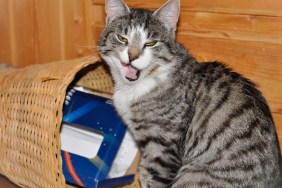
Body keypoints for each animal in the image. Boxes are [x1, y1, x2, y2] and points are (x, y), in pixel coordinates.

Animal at [97, 0, 282, 186]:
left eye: (151, 43)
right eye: (122, 38)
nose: (132, 56)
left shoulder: (163, 147)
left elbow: (156, 177)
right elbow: (143, 172)